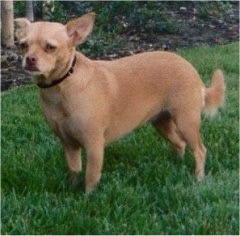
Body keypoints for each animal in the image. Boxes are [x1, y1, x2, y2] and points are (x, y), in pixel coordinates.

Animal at [15, 12, 225, 193]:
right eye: (23, 45)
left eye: (50, 47)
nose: (29, 59)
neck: (62, 85)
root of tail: (192, 69)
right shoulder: (69, 144)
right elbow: (74, 170)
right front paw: (72, 190)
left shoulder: (94, 145)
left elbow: (91, 176)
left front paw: (87, 198)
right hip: (162, 122)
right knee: (180, 144)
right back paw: (177, 165)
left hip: (186, 122)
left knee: (200, 150)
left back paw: (199, 178)